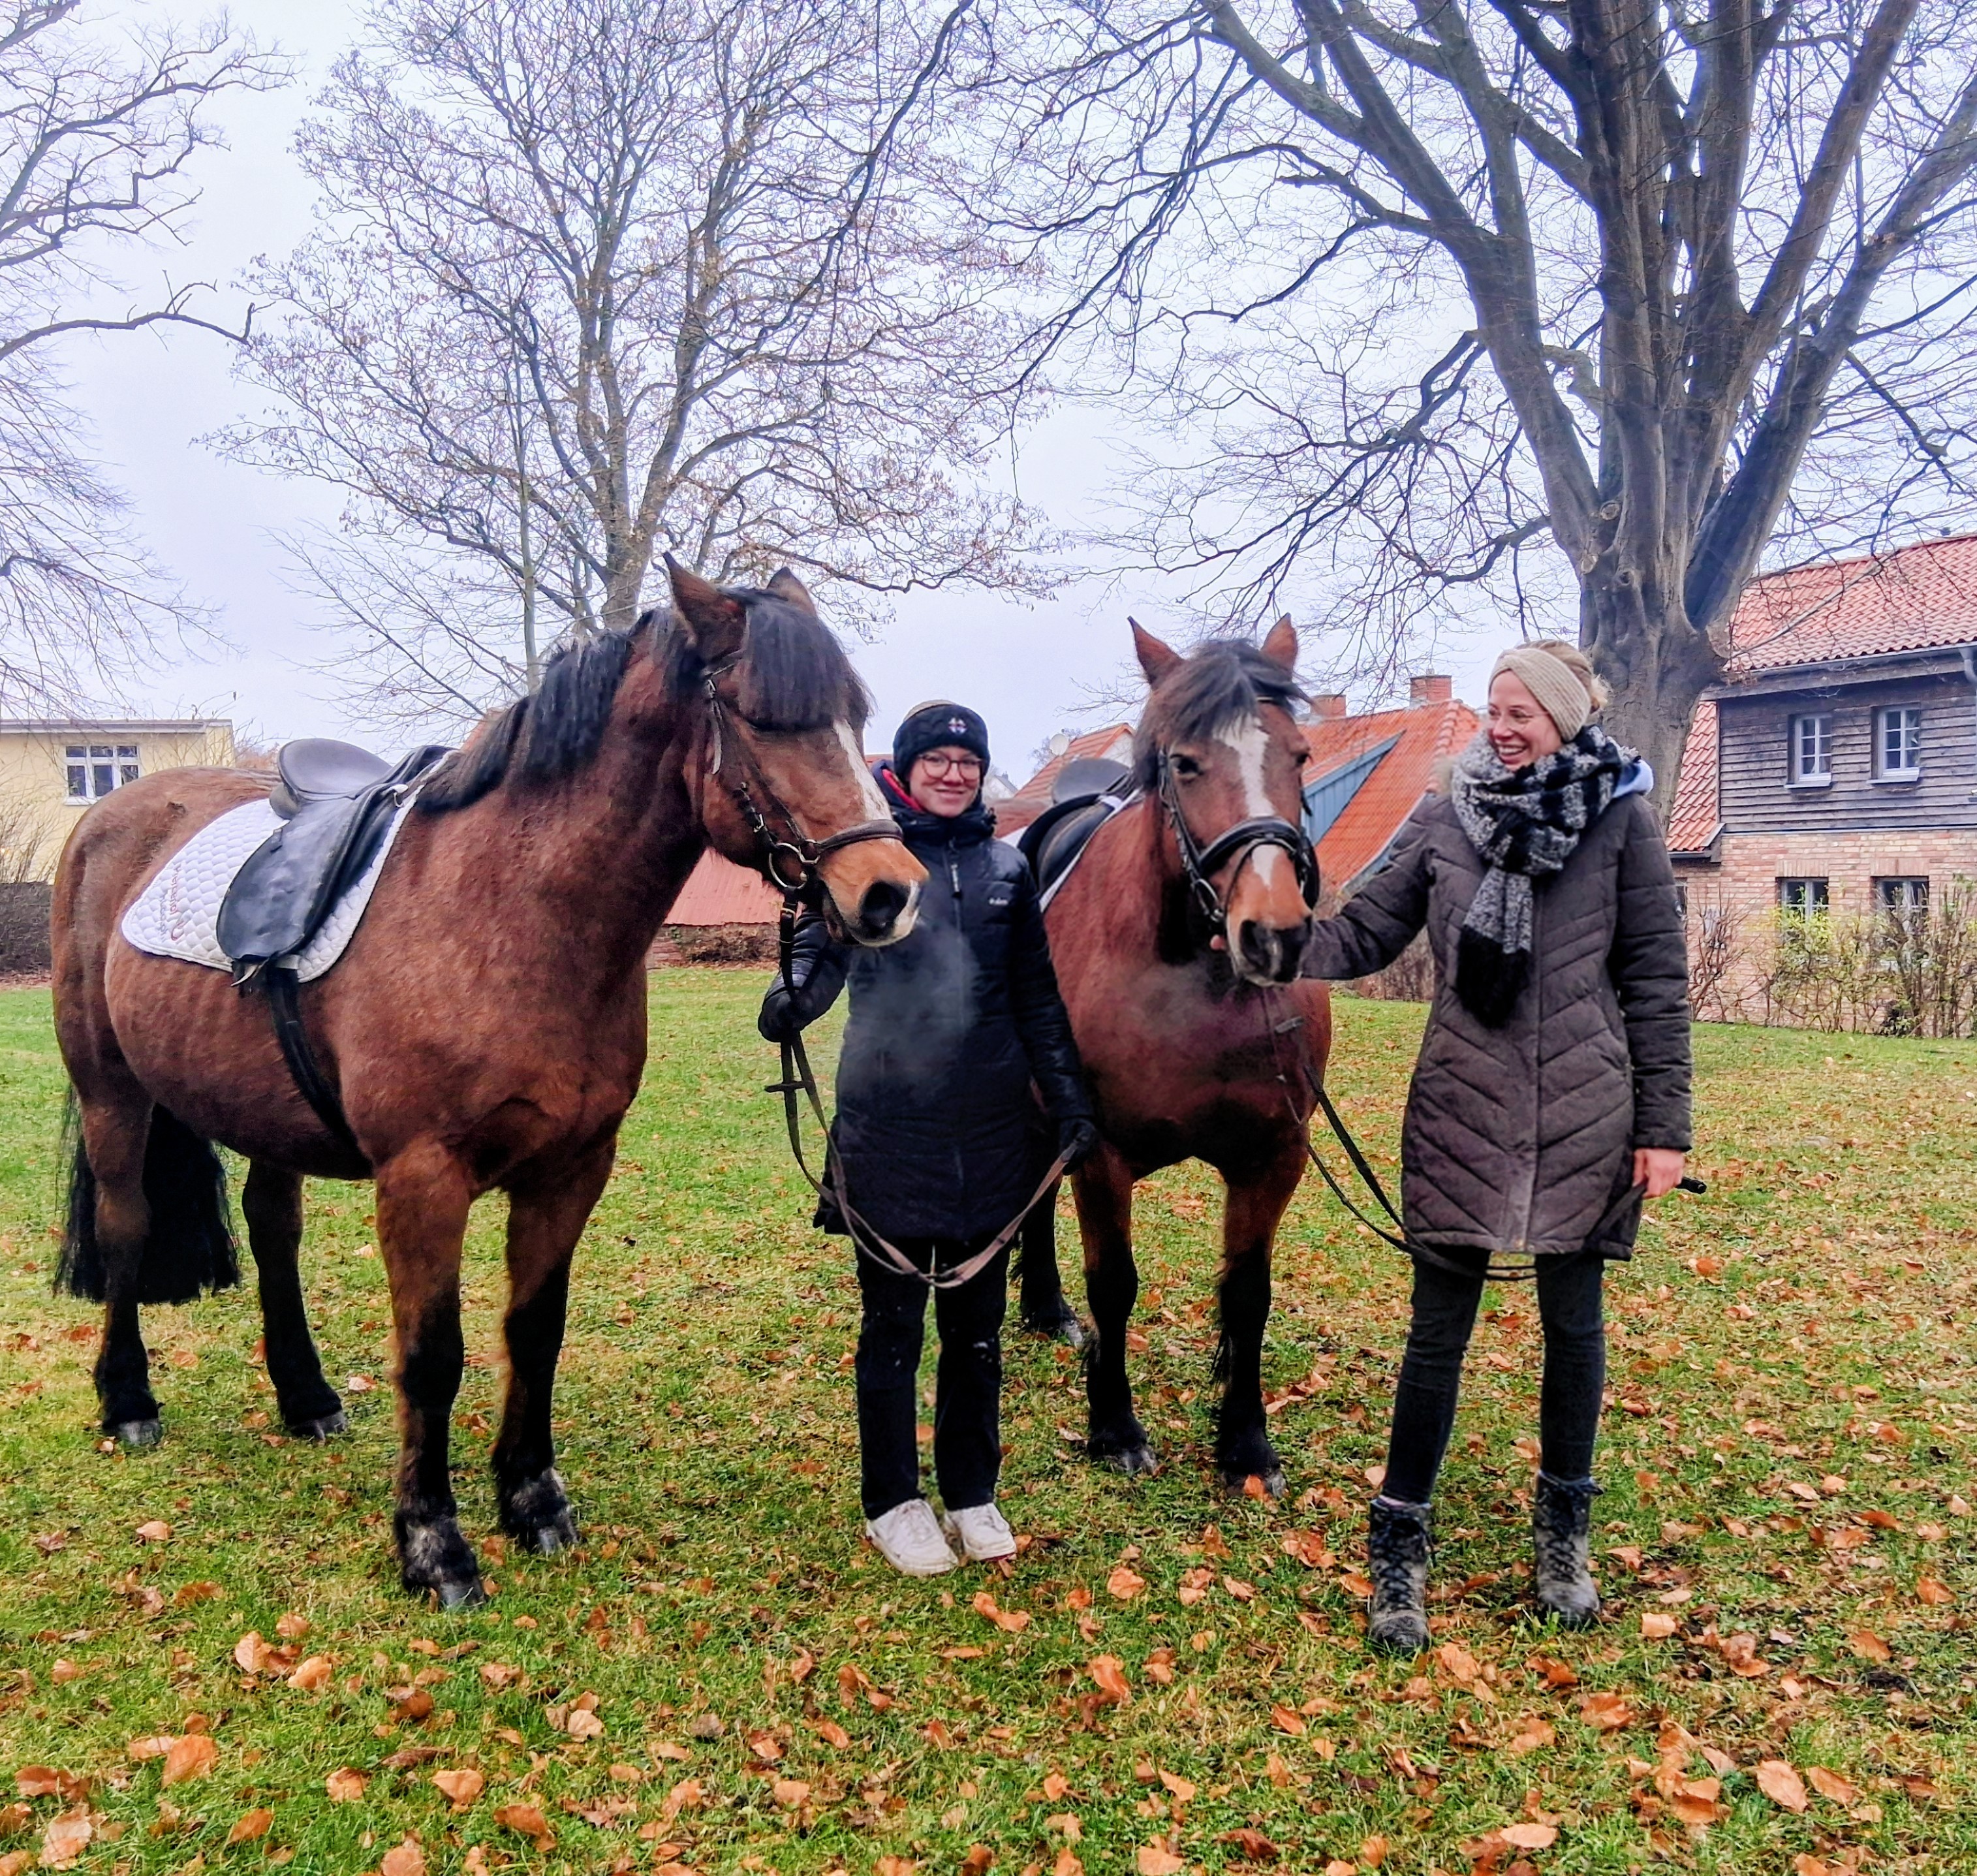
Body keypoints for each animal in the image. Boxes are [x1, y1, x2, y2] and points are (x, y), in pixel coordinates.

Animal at [50, 562, 925, 1606]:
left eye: (853, 717)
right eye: (763, 718)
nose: (891, 892)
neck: (512, 910)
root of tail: (112, 817)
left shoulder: (571, 1169)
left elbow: (533, 1328)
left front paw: (532, 1501)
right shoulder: (423, 1180)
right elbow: (433, 1358)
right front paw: (433, 1544)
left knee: (273, 1231)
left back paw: (305, 1398)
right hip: (111, 1092)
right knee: (126, 1222)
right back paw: (127, 1402)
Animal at [1017, 618, 1329, 1495]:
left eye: (1298, 755)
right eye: (1184, 763)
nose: (1273, 935)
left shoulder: (1273, 1155)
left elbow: (1248, 1295)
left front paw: (1246, 1443)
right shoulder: (1100, 1154)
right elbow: (1114, 1286)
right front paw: (1114, 1427)